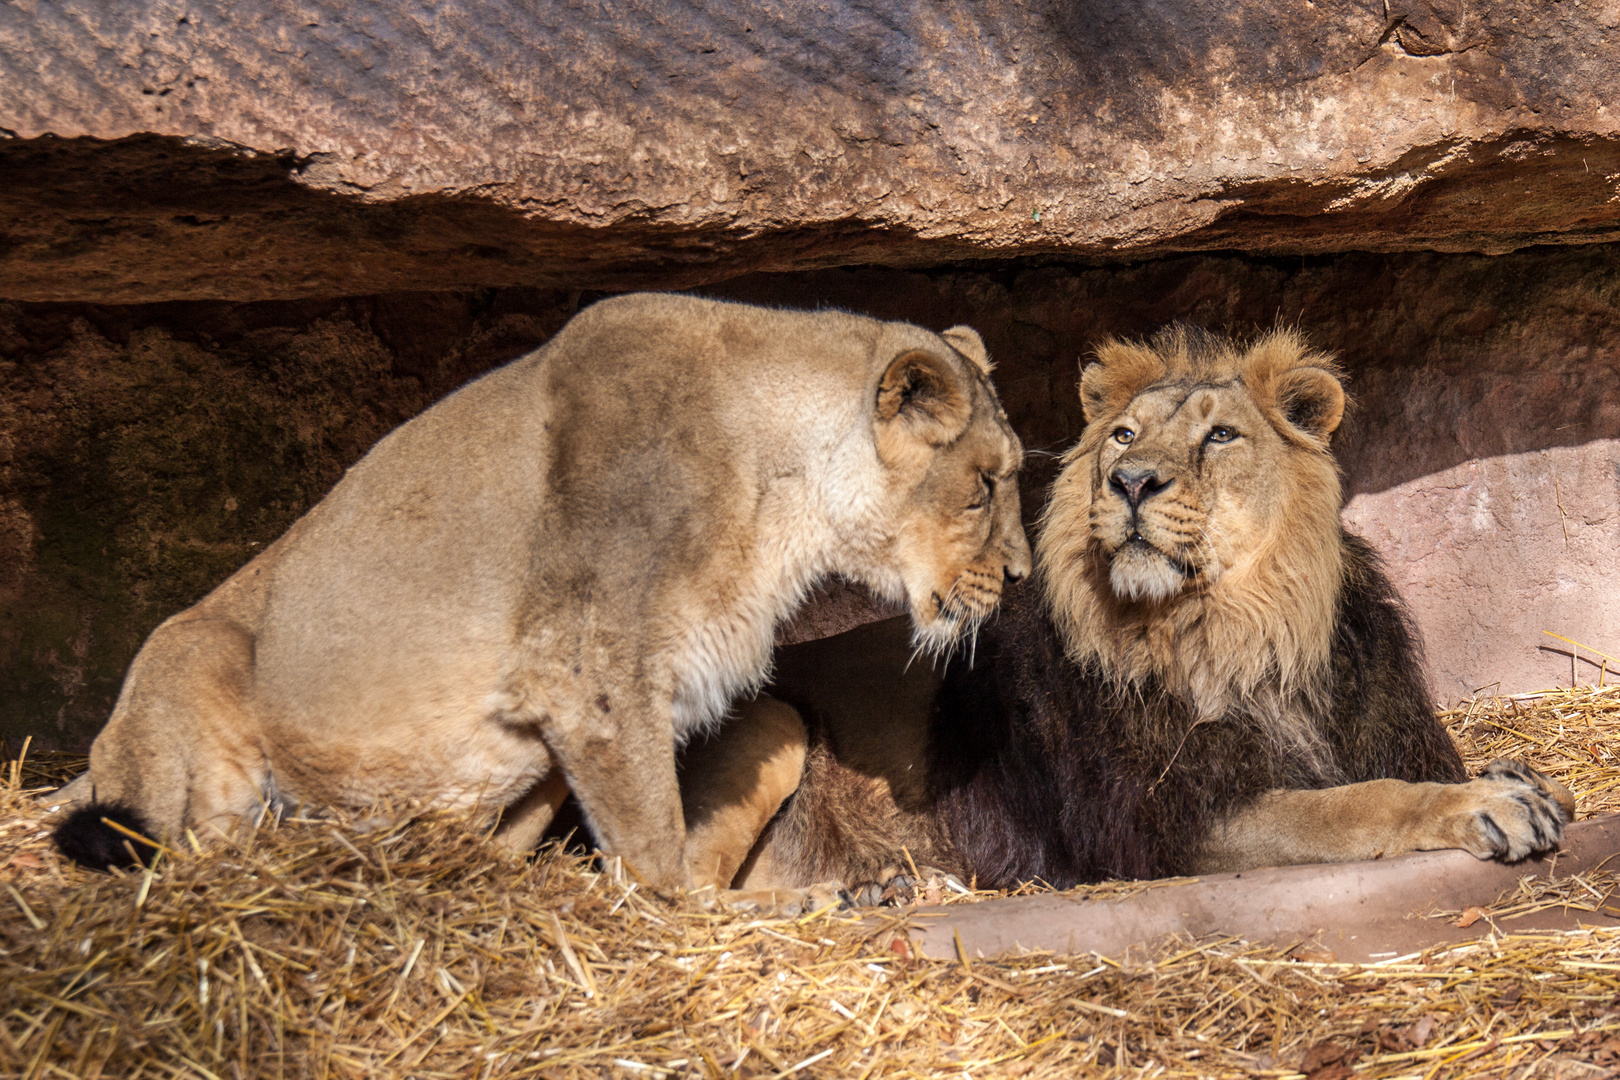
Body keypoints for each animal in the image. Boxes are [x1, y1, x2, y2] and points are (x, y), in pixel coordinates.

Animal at [59, 291, 1036, 893]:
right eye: (985, 484)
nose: (1023, 576)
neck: (783, 487)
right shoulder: (594, 676)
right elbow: (655, 853)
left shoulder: (555, 721)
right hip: (195, 655)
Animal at [680, 325, 1568, 900]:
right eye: (1123, 436)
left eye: (1220, 437)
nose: (1132, 481)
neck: (1241, 629)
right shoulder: (1167, 822)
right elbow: (1350, 804)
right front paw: (1482, 805)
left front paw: (1513, 777)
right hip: (771, 725)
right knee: (672, 898)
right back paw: (832, 898)